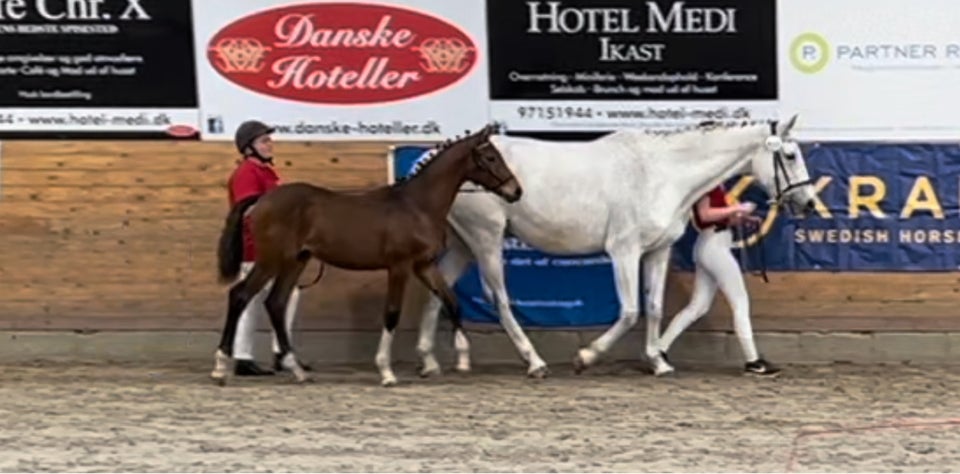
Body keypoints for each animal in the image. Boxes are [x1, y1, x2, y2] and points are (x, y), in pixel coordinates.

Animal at [398, 115, 816, 386]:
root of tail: (433, 157)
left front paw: (658, 362)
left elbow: (654, 308)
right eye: (790, 155)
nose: (809, 203)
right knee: (497, 299)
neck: (661, 173)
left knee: (440, 289)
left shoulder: (657, 251)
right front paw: (585, 357)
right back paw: (535, 362)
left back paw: (428, 361)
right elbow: (630, 311)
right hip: (485, 238)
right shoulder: (624, 251)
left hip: (463, 244)